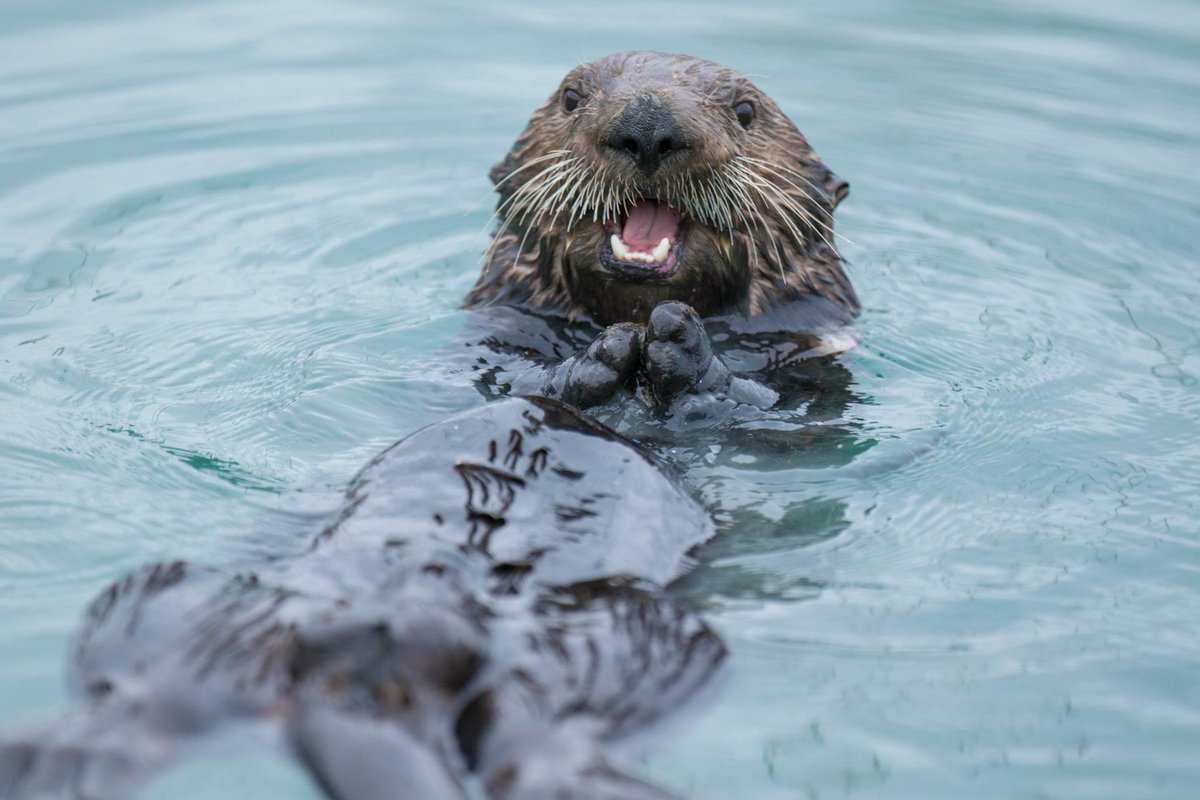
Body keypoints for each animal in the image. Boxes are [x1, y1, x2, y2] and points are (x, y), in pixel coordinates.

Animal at [0, 399, 725, 800]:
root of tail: (360, 674)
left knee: (136, 716)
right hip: (604, 655)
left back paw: (38, 760)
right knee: (536, 753)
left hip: (187, 626)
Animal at [464, 51, 857, 414]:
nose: (647, 121)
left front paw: (682, 346)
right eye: (570, 98)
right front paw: (602, 353)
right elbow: (514, 379)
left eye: (745, 111)